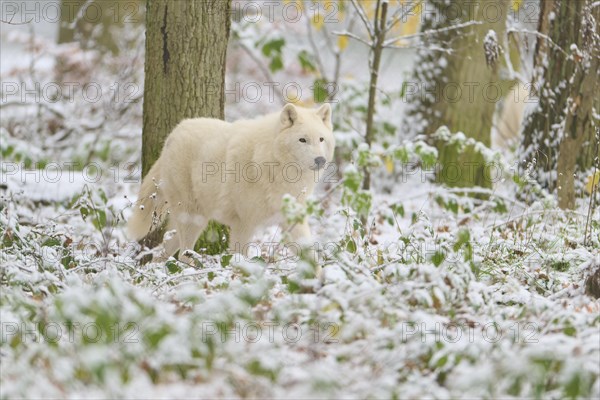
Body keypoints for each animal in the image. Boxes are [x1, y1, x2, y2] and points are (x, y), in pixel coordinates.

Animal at [128, 104, 336, 260]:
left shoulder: (293, 220)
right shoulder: (243, 225)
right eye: (302, 140)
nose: (320, 160)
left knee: (164, 251)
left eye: (321, 139)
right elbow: (240, 260)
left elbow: (311, 257)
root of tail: (173, 134)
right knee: (183, 254)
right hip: (193, 219)